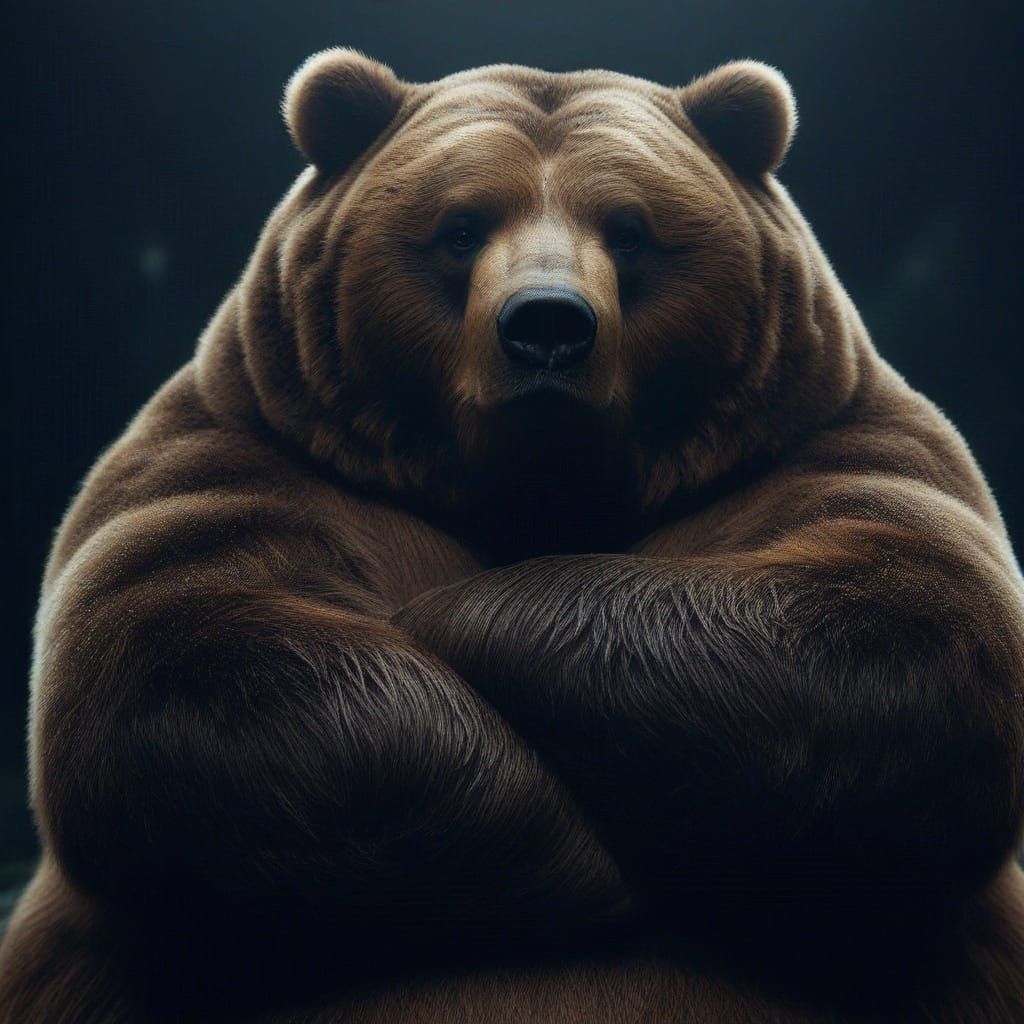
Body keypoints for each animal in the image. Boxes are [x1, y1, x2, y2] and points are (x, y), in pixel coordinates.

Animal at [1, 46, 1023, 1022]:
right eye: (460, 229)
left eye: (629, 231)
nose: (547, 326)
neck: (535, 493)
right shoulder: (247, 450)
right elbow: (181, 665)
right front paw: (576, 860)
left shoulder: (822, 446)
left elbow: (902, 633)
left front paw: (454, 614)